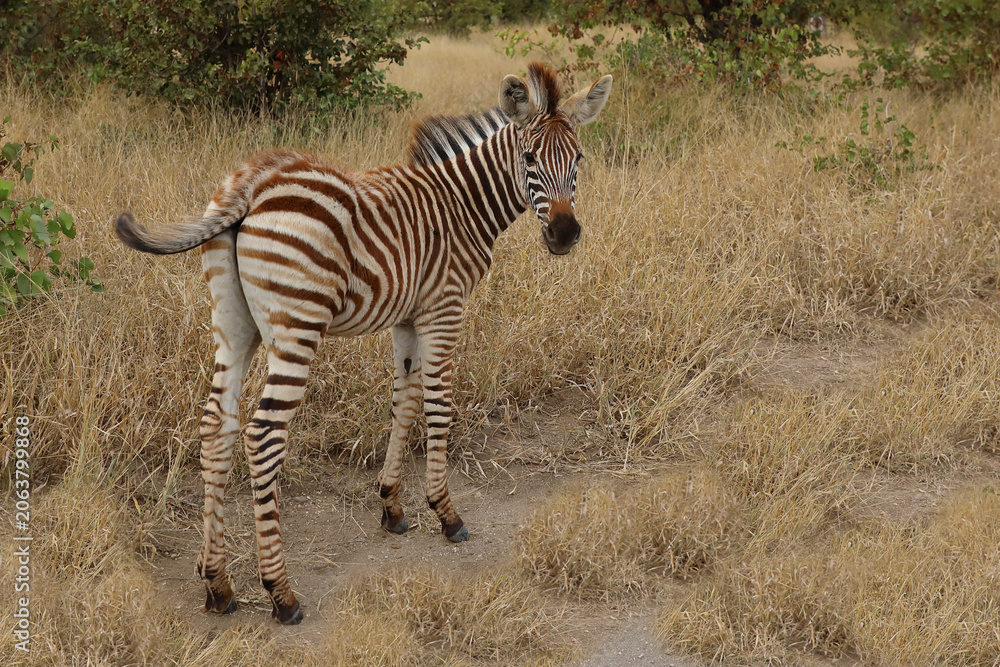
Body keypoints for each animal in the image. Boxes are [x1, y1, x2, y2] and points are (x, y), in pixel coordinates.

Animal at [115, 62, 612, 625]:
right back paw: (281, 593)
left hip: (232, 323)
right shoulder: (444, 308)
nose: (565, 235)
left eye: (579, 160)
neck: (460, 205)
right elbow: (438, 407)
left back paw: (217, 582)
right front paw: (446, 514)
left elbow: (404, 402)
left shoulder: (407, 317)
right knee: (263, 435)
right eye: (529, 159)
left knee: (215, 426)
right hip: (297, 326)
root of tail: (252, 183)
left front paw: (392, 505)